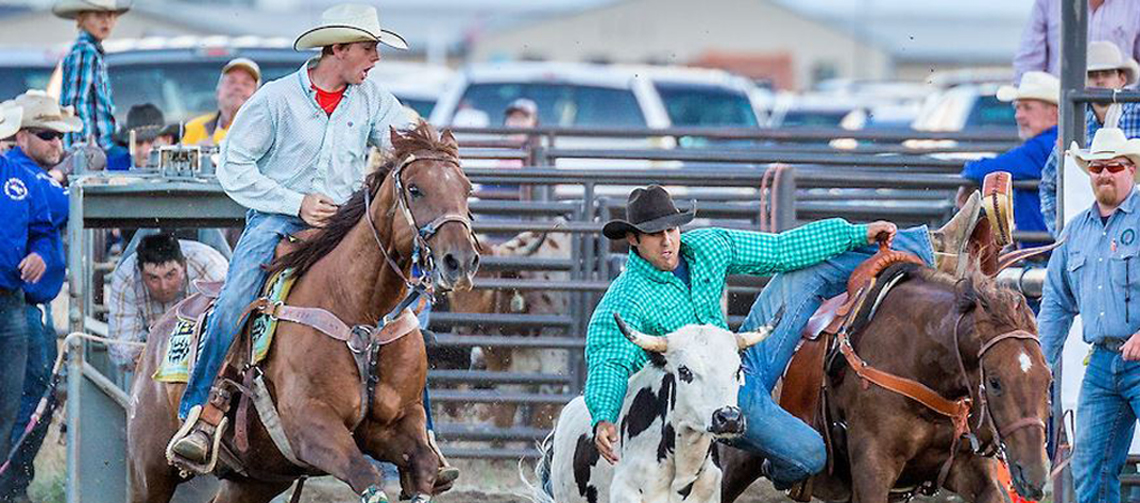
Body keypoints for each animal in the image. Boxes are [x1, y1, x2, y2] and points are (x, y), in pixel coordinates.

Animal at [127, 122, 478, 501]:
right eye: (415, 189)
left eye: (466, 189)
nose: (460, 261)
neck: (362, 315)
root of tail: (156, 334)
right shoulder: (310, 424)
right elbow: (363, 472)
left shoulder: (396, 424)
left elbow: (423, 463)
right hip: (149, 471)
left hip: (254, 480)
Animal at [720, 264, 1048, 499]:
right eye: (994, 382)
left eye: (1048, 380)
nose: (1034, 475)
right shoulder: (873, 468)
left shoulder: (973, 470)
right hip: (733, 463)